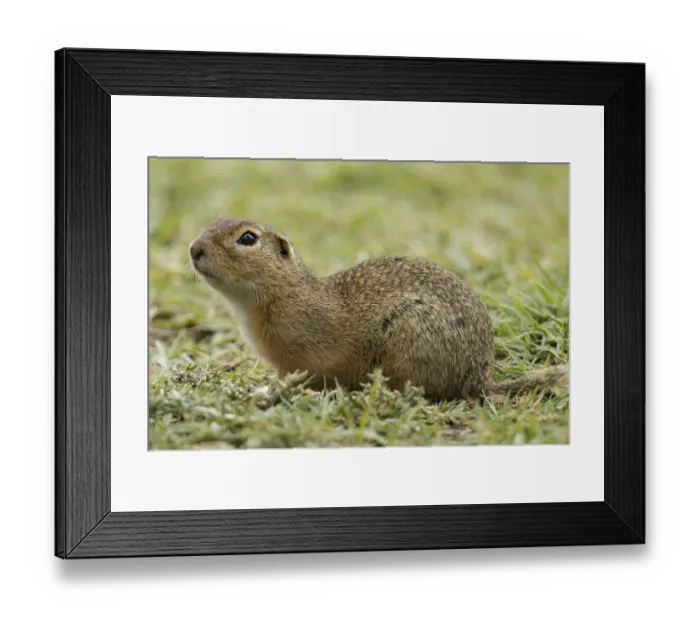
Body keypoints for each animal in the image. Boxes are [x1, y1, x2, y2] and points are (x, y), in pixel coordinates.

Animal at [189, 219, 568, 401]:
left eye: (248, 239)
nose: (194, 249)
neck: (282, 291)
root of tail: (479, 377)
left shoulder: (302, 358)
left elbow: (298, 378)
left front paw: (265, 391)